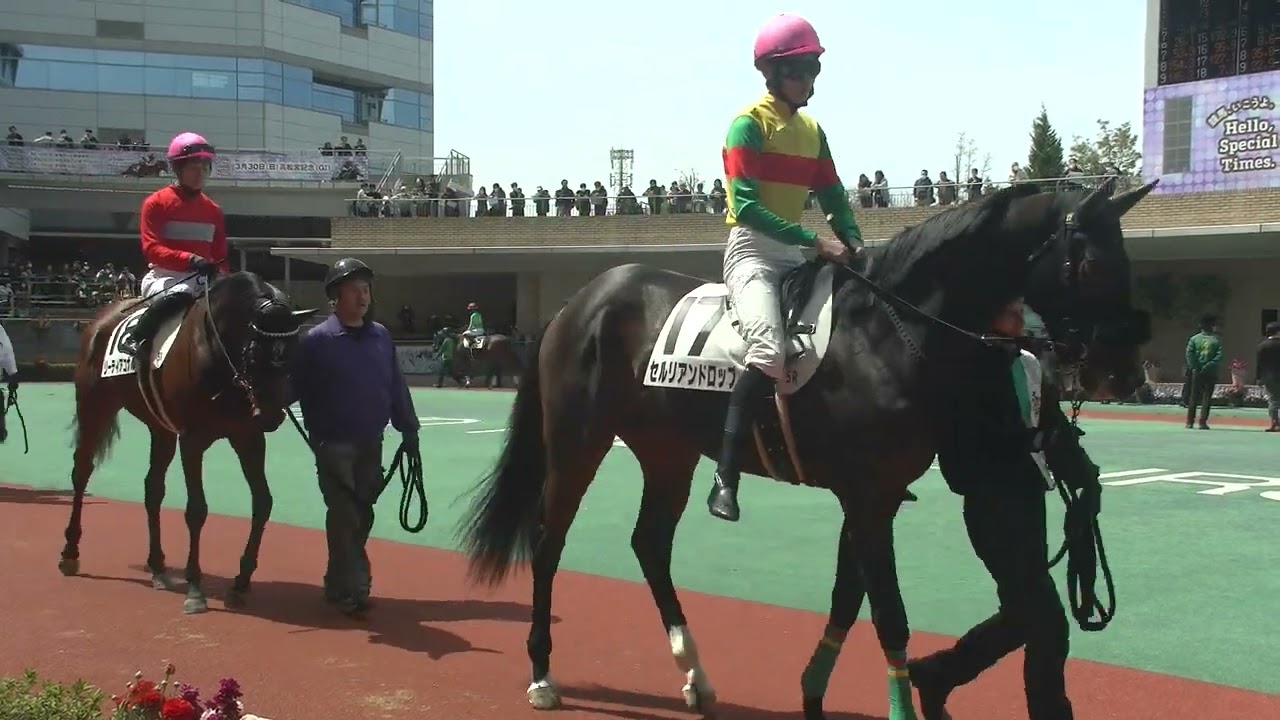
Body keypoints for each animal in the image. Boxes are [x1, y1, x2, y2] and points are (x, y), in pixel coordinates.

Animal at [57, 271, 317, 614]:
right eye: (254, 353)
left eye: (293, 351)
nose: (273, 415)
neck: (217, 352)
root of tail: (103, 316)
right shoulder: (193, 439)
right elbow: (197, 509)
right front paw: (195, 587)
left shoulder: (248, 436)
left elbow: (263, 502)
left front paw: (241, 581)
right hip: (94, 405)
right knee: (82, 471)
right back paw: (70, 552)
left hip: (161, 429)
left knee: (153, 489)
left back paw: (158, 567)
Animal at [457, 181, 1156, 719]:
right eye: (1090, 265)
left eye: (1129, 261)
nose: (1123, 370)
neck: (886, 331)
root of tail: (577, 302)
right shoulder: (868, 497)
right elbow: (890, 615)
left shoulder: (874, 495)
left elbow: (850, 598)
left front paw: (814, 691)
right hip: (578, 440)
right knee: (548, 541)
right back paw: (543, 674)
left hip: (667, 449)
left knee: (649, 543)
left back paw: (694, 675)